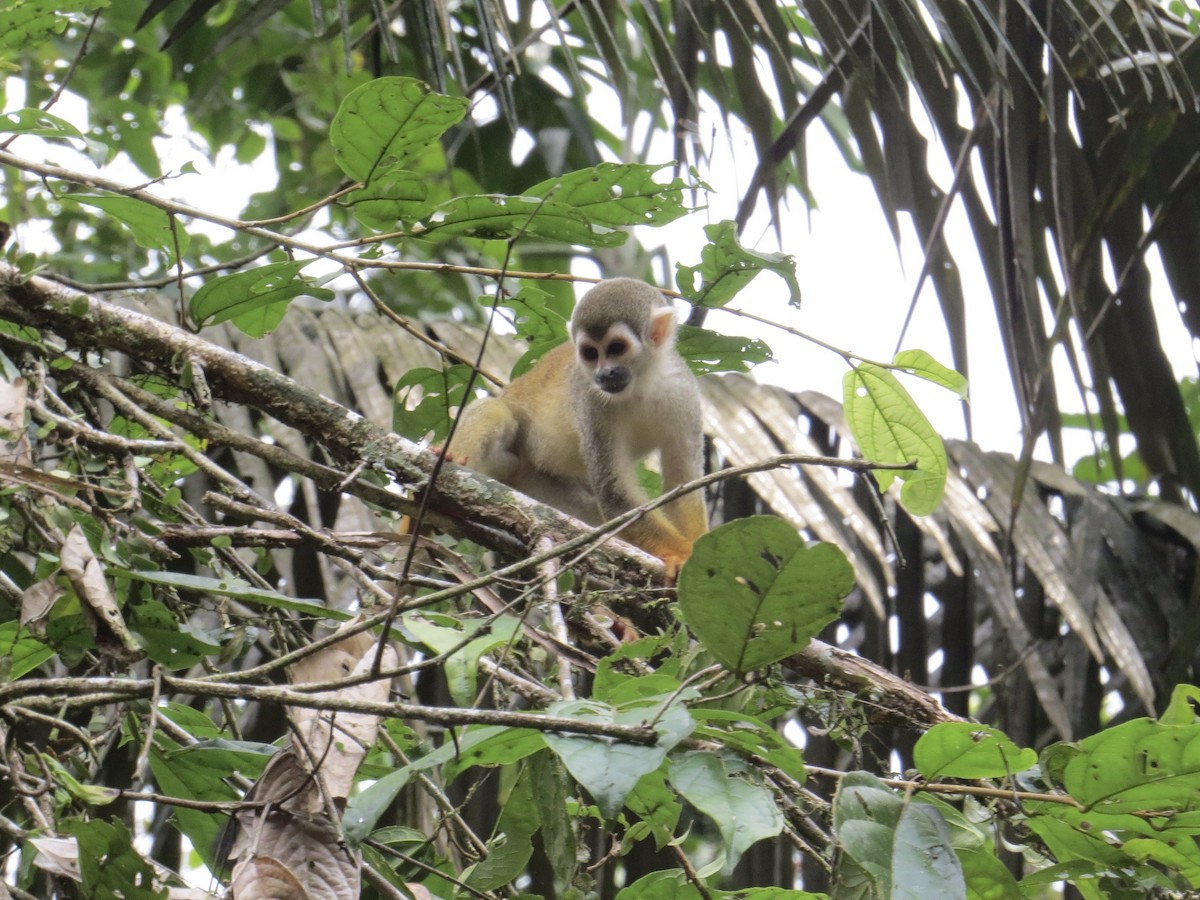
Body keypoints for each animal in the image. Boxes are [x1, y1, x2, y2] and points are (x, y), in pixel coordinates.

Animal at [445, 277, 708, 574]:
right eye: (591, 353)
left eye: (616, 348)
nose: (604, 373)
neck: (642, 385)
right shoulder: (590, 399)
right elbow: (614, 494)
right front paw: (684, 554)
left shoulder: (683, 390)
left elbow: (683, 482)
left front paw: (702, 550)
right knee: (496, 412)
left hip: (537, 483)